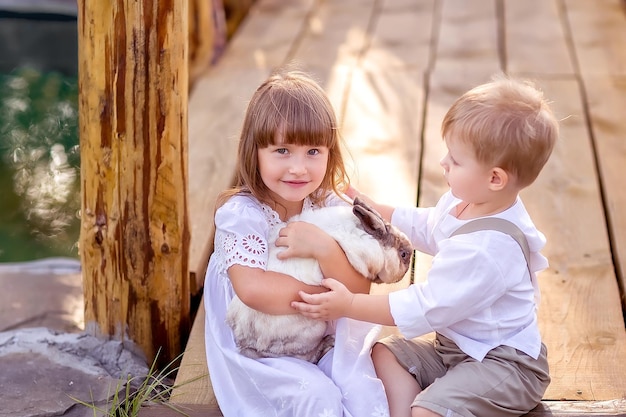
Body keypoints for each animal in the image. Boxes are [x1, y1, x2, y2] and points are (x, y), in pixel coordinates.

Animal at [225, 197, 414, 362]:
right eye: (404, 254)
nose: (405, 273)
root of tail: (245, 343)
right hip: (316, 329)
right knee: (307, 357)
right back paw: (328, 343)